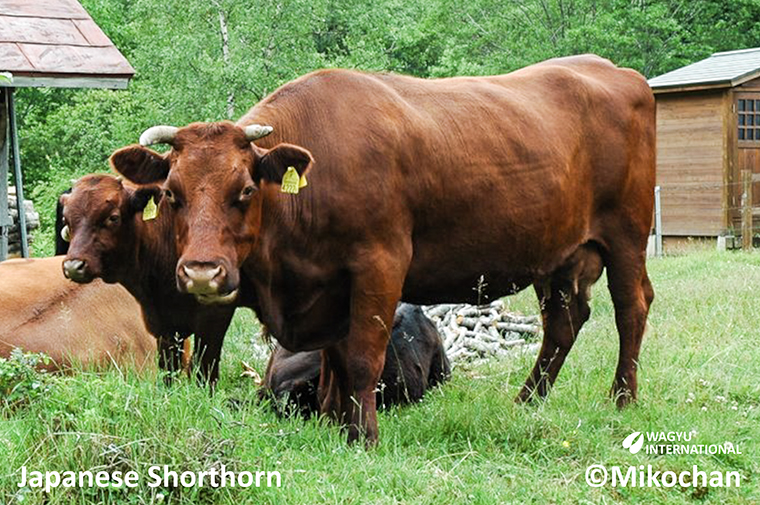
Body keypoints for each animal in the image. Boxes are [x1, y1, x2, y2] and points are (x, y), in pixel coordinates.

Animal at [60, 175, 249, 384]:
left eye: (113, 217)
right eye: (66, 219)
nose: (73, 266)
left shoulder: (214, 317)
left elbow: (204, 369)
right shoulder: (163, 326)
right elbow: (169, 369)